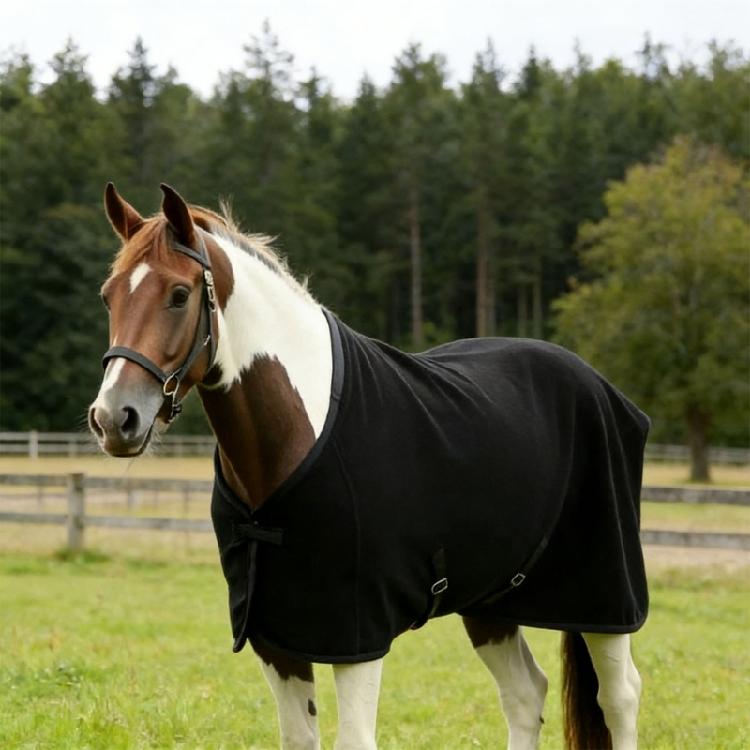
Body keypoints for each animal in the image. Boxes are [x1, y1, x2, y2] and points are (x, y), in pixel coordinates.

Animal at [89, 183, 649, 750]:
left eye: (179, 295)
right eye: (109, 296)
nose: (114, 418)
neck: (300, 432)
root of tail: (598, 385)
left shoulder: (357, 636)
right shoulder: (275, 637)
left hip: (603, 596)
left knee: (618, 696)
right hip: (490, 602)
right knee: (525, 693)